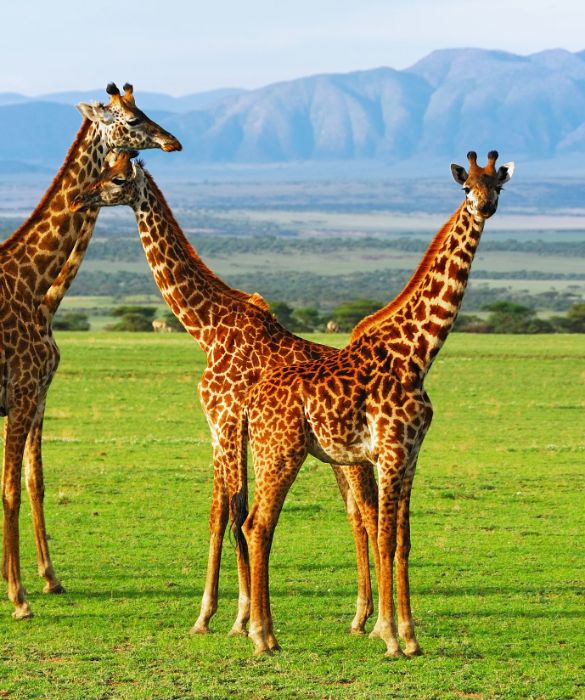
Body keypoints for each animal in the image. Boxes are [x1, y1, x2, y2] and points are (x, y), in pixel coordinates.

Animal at [0, 84, 181, 619]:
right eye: (131, 117)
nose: (172, 141)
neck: (33, 283)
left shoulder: (36, 396)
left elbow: (32, 482)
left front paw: (48, 579)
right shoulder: (22, 393)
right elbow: (11, 489)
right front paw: (19, 597)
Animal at [70, 150, 380, 637]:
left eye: (118, 179)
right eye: (103, 166)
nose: (79, 197)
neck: (207, 328)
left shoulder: (228, 420)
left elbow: (234, 514)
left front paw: (235, 617)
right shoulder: (217, 426)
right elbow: (221, 512)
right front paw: (215, 615)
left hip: (354, 459)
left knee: (367, 512)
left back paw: (368, 616)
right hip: (337, 458)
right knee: (354, 514)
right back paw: (359, 615)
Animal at [236, 151, 515, 656]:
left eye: (498, 186)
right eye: (467, 188)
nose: (484, 207)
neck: (419, 354)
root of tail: (251, 401)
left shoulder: (411, 456)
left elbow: (403, 541)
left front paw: (411, 636)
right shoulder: (388, 453)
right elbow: (383, 537)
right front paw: (387, 635)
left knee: (256, 524)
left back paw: (267, 634)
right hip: (279, 451)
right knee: (258, 525)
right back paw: (262, 636)